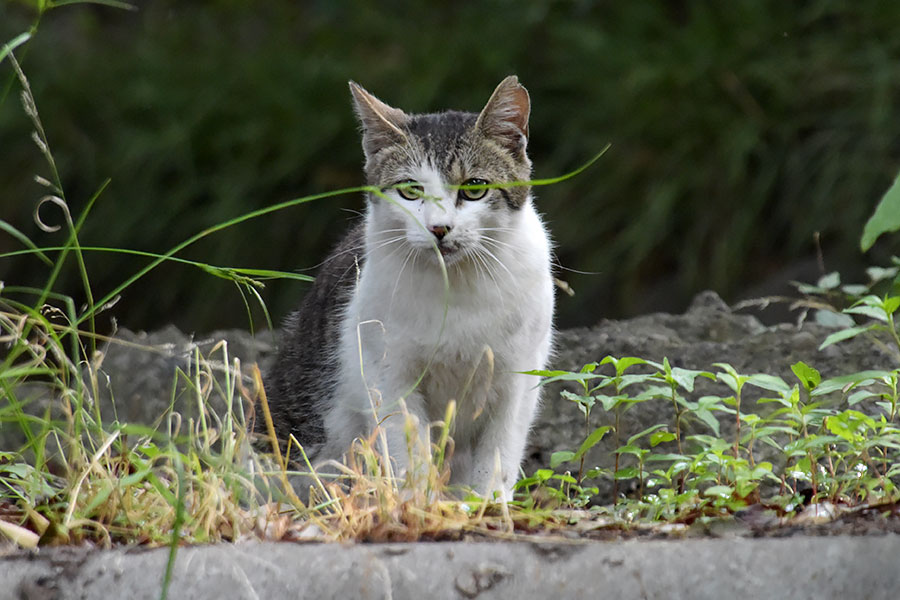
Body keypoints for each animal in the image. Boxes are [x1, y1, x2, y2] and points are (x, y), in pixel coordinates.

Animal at [262, 76, 556, 502]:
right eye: (411, 190)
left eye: (474, 188)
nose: (439, 228)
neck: (458, 289)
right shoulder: (390, 374)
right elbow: (409, 450)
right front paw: (420, 504)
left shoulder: (517, 378)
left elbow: (497, 455)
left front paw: (486, 506)